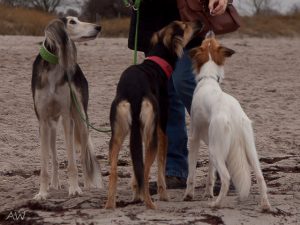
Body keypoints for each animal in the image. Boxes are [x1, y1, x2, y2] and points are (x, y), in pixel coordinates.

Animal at [31, 16, 102, 200]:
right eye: (72, 22)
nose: (98, 27)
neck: (53, 68)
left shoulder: (66, 117)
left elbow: (72, 162)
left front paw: (75, 188)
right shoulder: (43, 121)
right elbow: (45, 165)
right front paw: (42, 192)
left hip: (81, 121)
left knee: (84, 156)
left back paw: (88, 185)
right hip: (52, 127)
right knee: (55, 158)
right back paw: (55, 184)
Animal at [105, 21, 202, 209]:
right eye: (185, 25)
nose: (199, 22)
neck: (156, 64)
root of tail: (134, 92)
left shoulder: (139, 131)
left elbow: (136, 164)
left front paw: (135, 192)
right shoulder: (161, 129)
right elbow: (160, 165)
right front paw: (163, 195)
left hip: (117, 136)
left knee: (115, 171)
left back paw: (110, 205)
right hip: (152, 138)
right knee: (146, 170)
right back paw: (150, 204)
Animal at [184, 32, 270, 211]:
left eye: (206, 41)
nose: (209, 31)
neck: (208, 79)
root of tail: (233, 113)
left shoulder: (194, 138)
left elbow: (191, 173)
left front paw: (189, 195)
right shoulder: (210, 142)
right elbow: (210, 174)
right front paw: (208, 192)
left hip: (217, 150)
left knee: (226, 178)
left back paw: (216, 204)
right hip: (249, 149)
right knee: (260, 176)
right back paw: (265, 205)